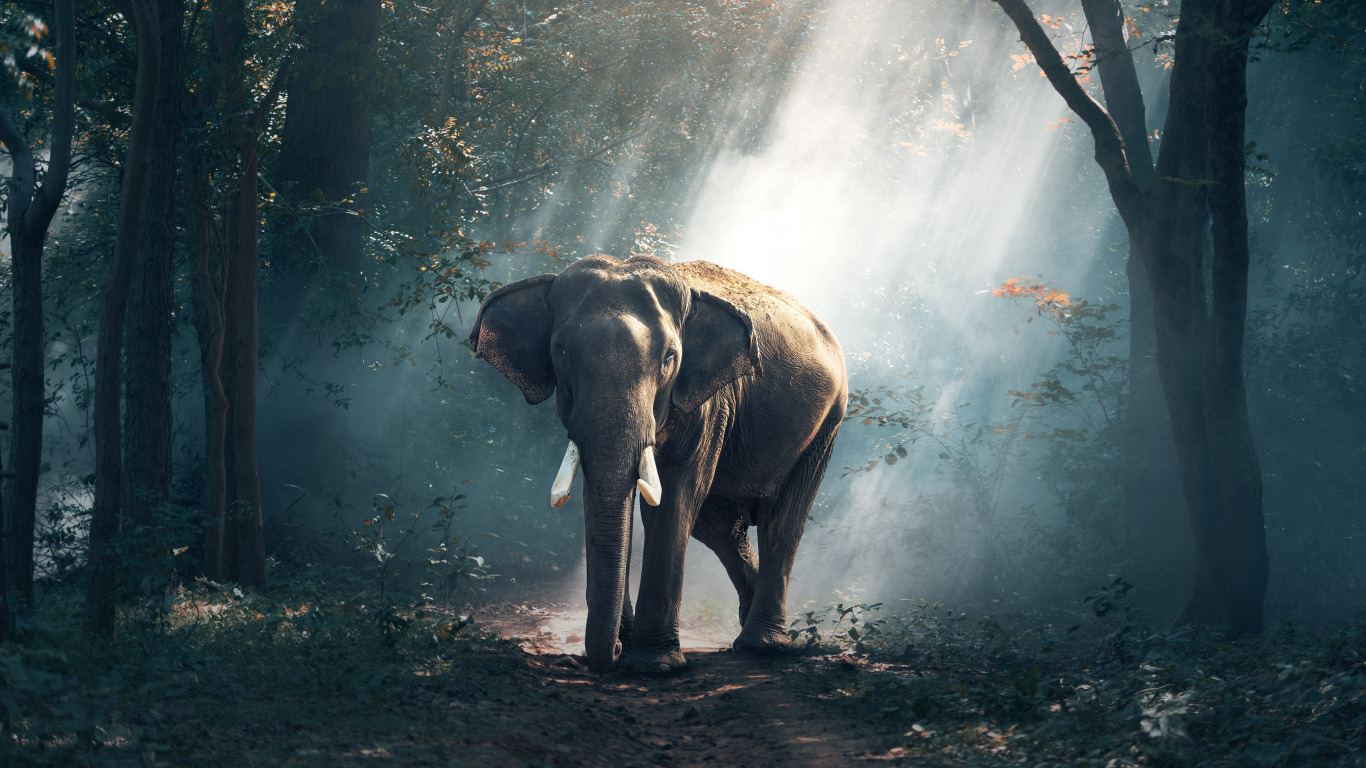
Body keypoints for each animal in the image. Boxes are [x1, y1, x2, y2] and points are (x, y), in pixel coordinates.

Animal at [470, 254, 847, 672]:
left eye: (669, 358)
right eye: (561, 351)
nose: (612, 653)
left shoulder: (709, 404)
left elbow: (674, 499)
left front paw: (654, 665)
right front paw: (627, 646)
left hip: (826, 424)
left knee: (781, 521)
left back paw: (761, 645)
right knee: (720, 526)